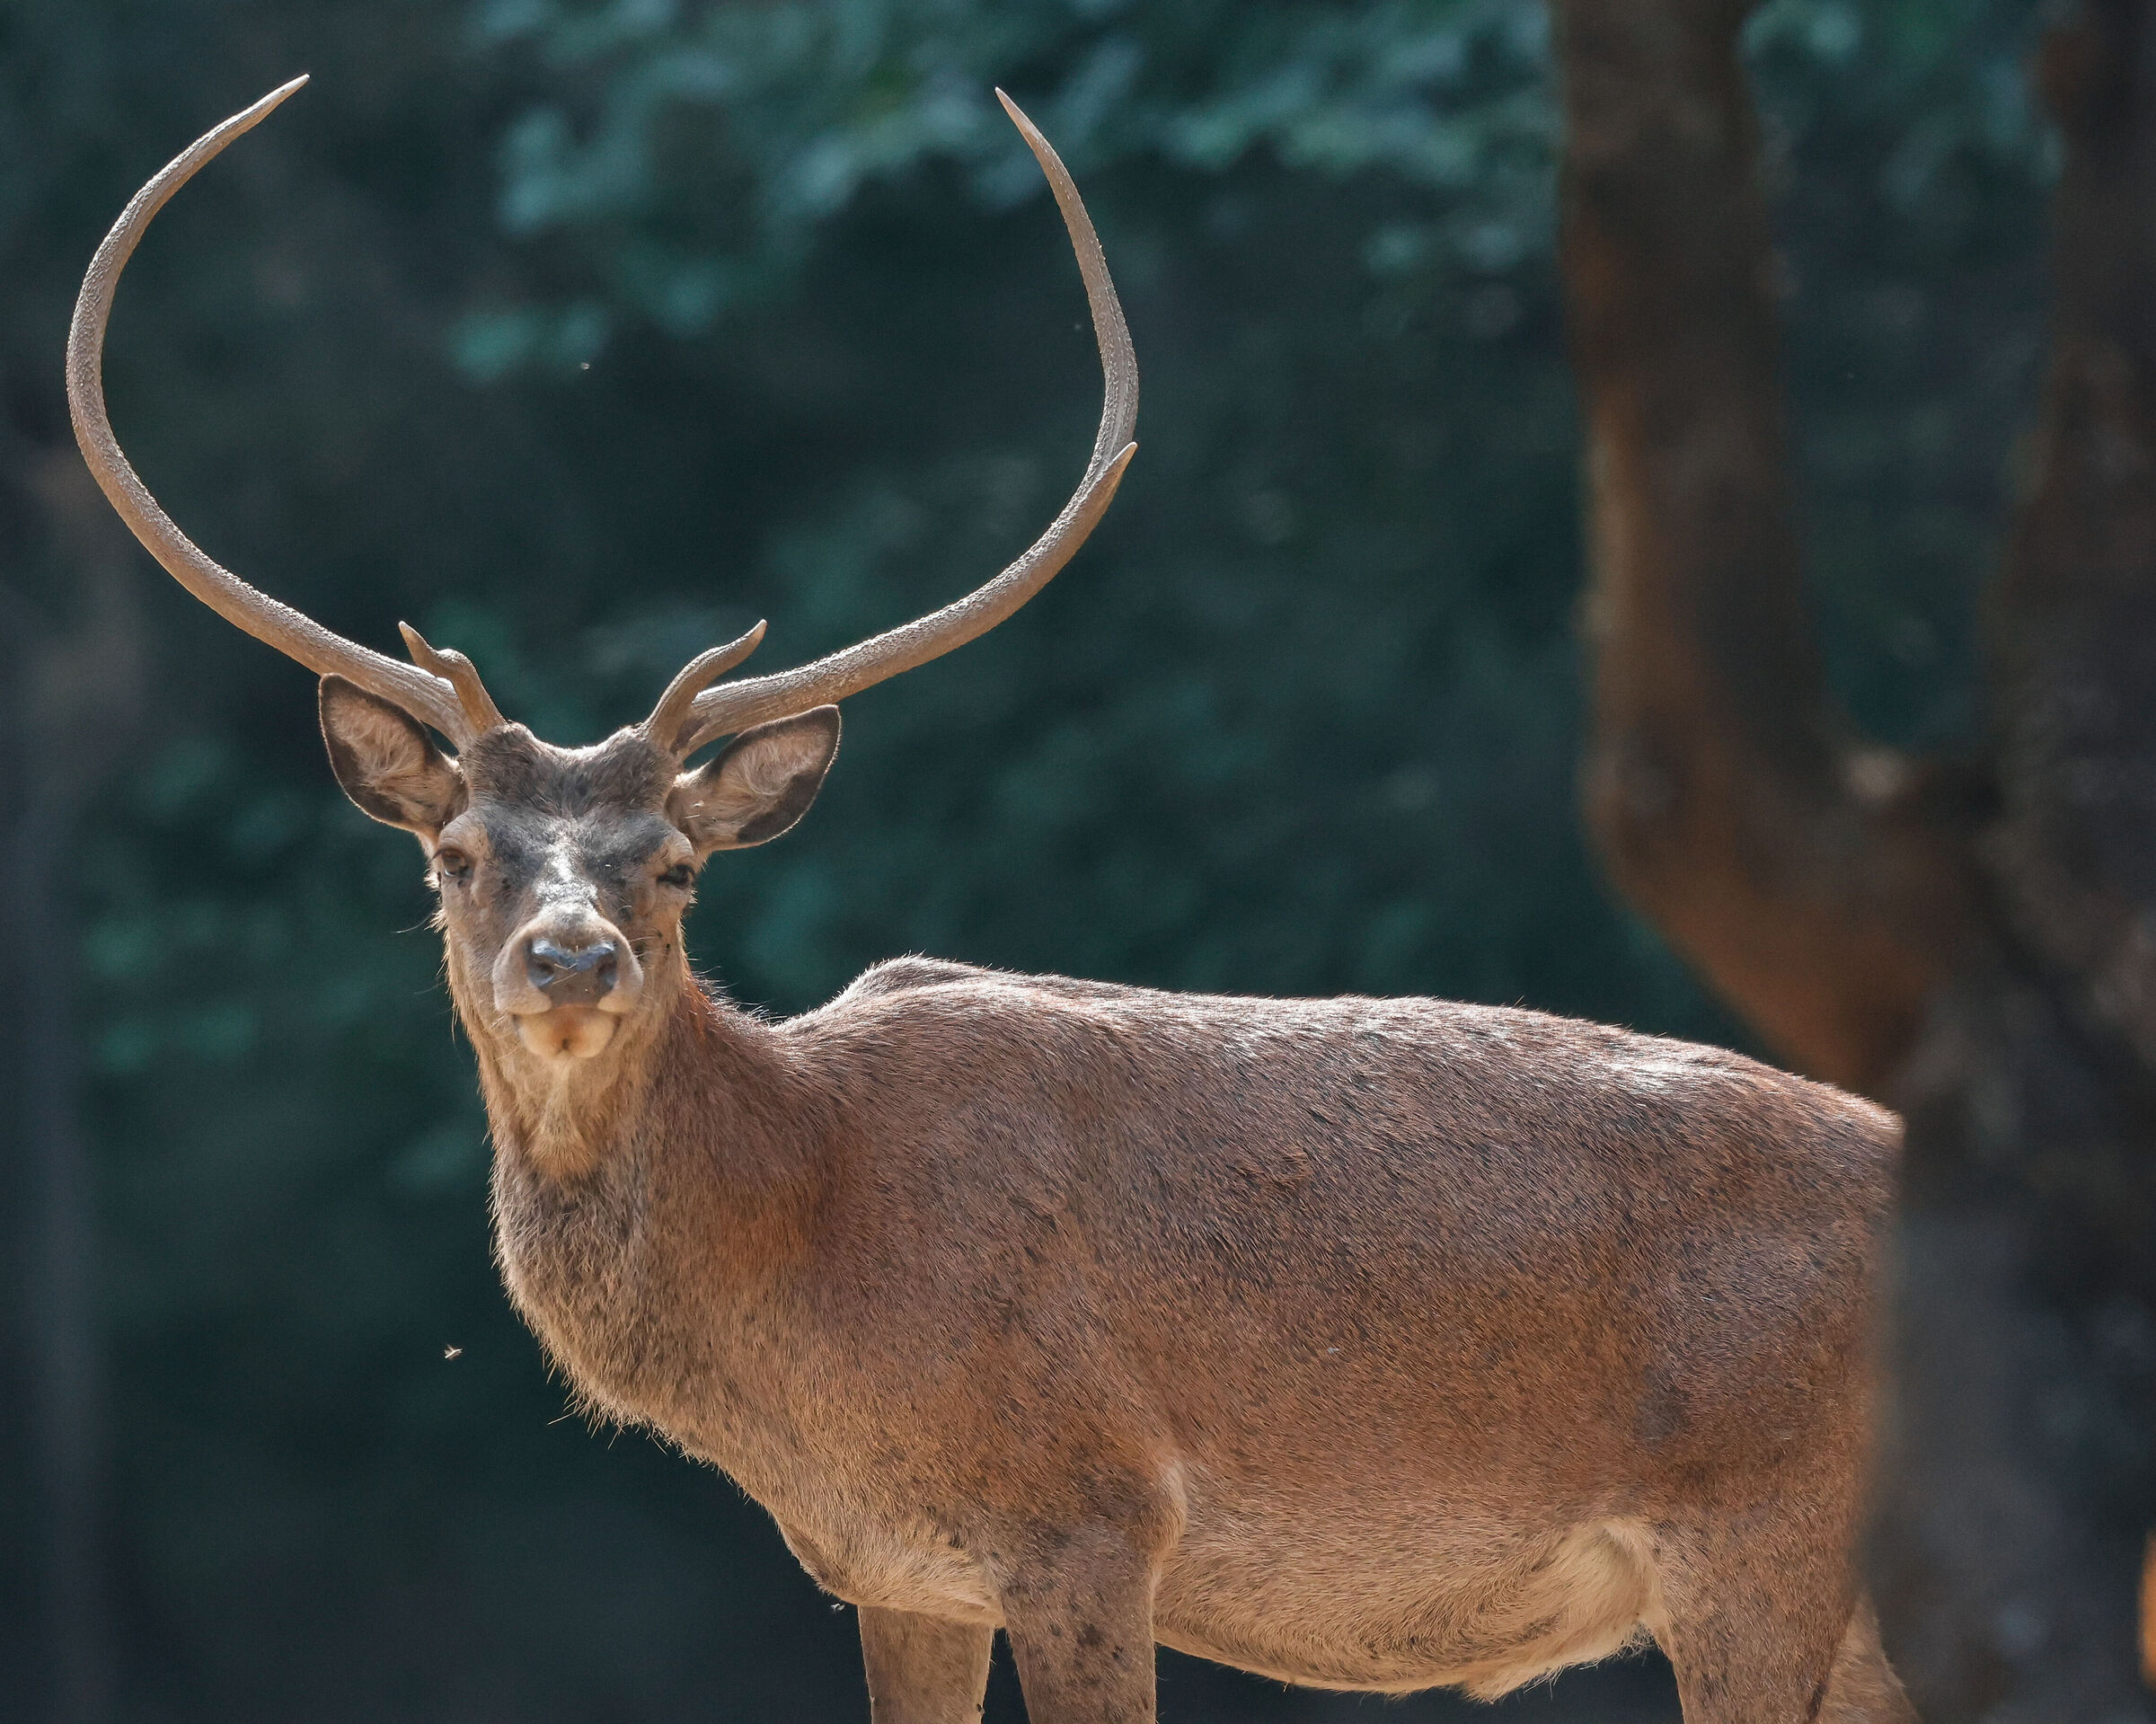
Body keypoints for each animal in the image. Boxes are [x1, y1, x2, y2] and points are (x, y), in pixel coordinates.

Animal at [70, 80, 1917, 1724]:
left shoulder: (1089, 1511)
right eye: (456, 853)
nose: (571, 952)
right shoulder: (896, 1570)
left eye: (677, 860)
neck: (803, 1290)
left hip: (1767, 1527)